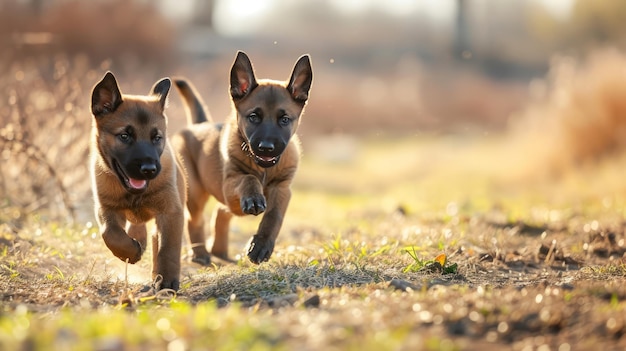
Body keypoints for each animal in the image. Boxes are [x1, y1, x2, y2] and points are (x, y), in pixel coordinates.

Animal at [173, 51, 312, 266]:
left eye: (284, 119)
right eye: (253, 117)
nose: (266, 148)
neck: (264, 169)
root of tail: (199, 125)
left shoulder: (282, 189)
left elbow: (274, 217)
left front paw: (260, 246)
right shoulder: (229, 183)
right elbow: (248, 177)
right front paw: (253, 198)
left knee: (221, 212)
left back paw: (220, 252)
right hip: (195, 191)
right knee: (195, 220)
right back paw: (201, 254)